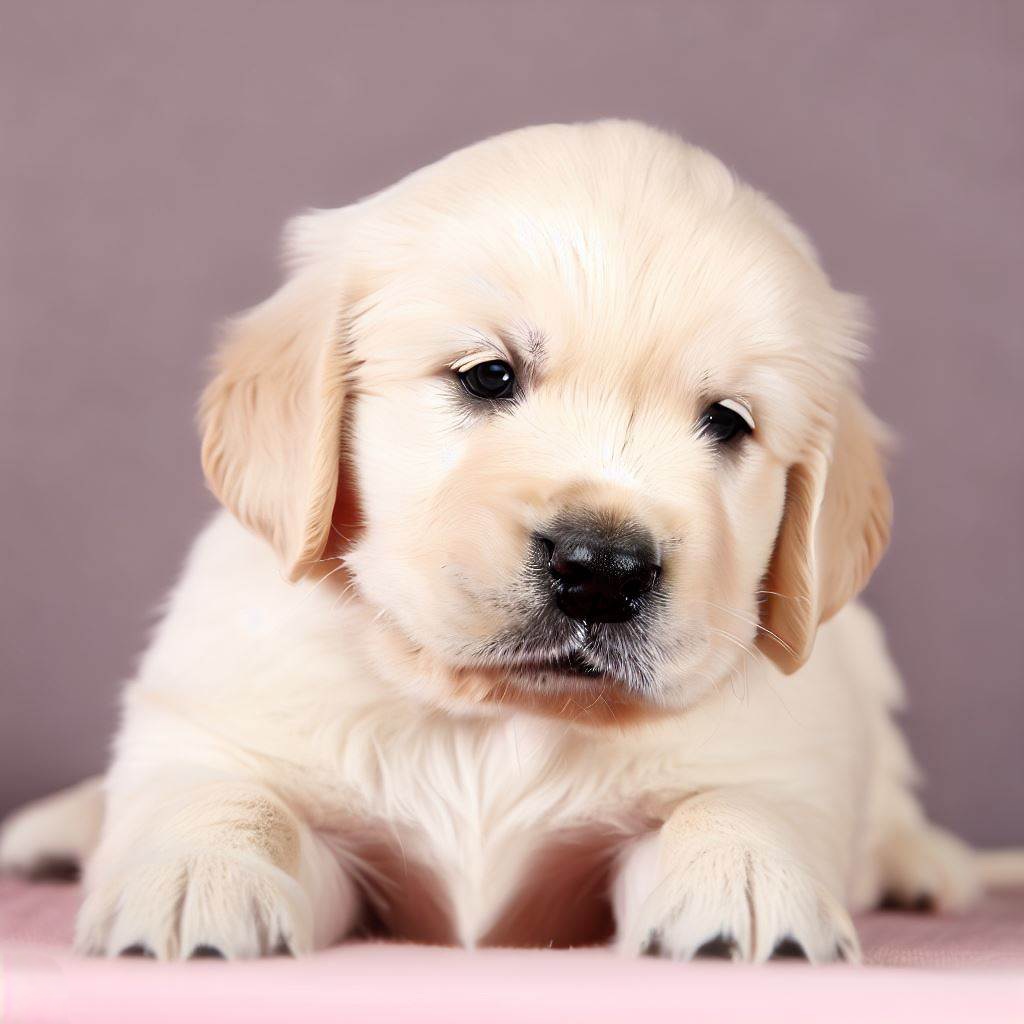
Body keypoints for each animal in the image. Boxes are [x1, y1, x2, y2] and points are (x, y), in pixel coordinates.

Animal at [0, 119, 995, 958]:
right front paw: (192, 874)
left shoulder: (760, 758)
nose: (602, 569)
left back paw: (926, 864)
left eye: (728, 422)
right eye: (487, 376)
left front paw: (749, 880)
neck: (490, 721)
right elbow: (226, 794)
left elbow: (736, 802)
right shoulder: (237, 734)